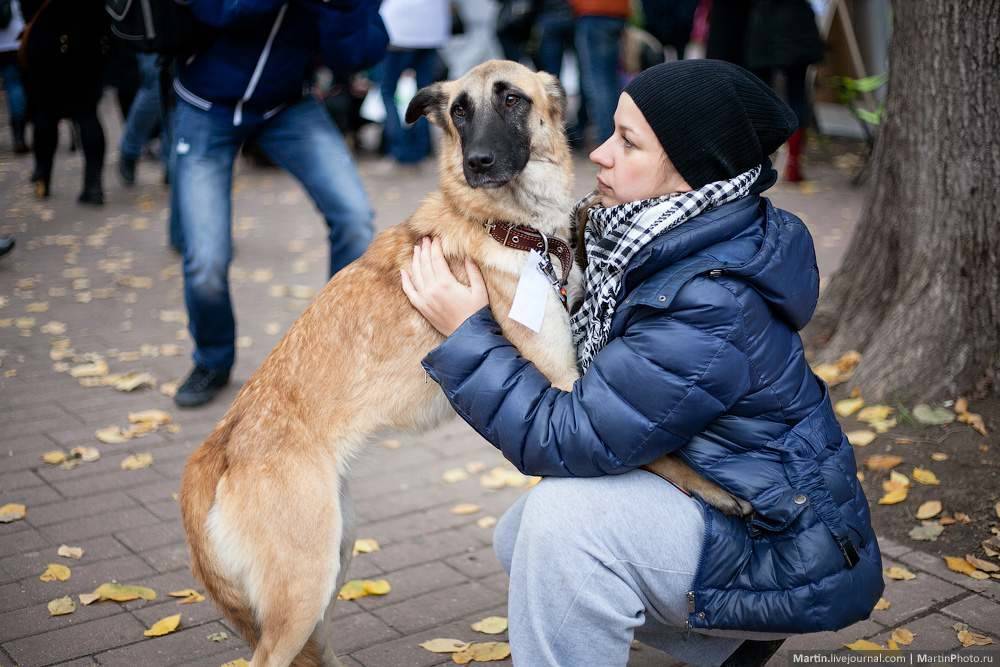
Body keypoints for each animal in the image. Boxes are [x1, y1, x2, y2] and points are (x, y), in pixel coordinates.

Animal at [180, 61, 748, 667]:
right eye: (458, 112)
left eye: (513, 100)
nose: (477, 162)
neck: (513, 227)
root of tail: (222, 442)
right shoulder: (563, 383)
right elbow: (661, 453)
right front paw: (721, 493)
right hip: (305, 582)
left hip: (334, 557)